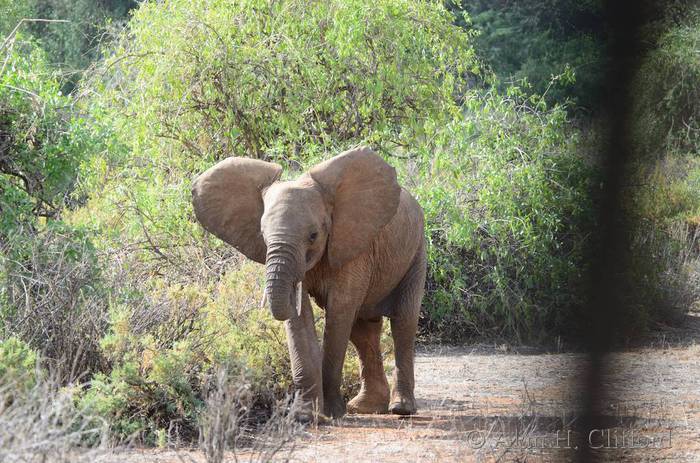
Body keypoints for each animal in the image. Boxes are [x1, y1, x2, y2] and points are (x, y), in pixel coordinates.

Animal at [191, 146, 426, 419]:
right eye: (263, 235)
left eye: (313, 235)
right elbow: (301, 315)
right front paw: (305, 415)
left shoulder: (352, 245)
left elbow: (340, 311)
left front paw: (332, 413)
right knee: (363, 328)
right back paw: (365, 407)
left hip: (417, 250)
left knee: (403, 322)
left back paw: (401, 408)